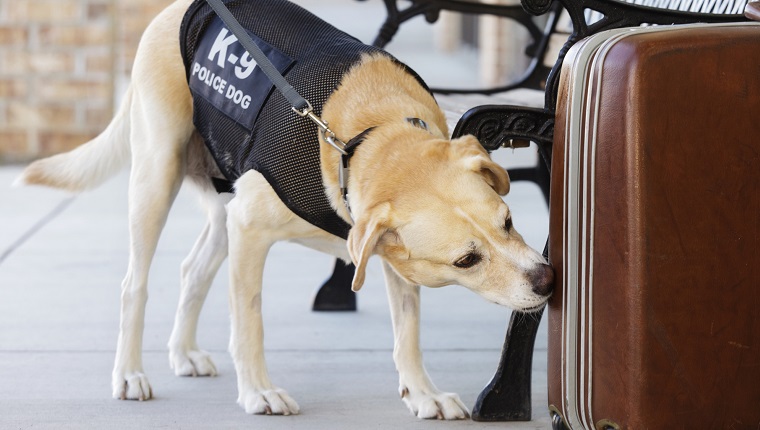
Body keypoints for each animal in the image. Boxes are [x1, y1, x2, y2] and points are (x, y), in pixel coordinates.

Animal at [16, 0, 552, 420]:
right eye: (467, 260)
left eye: (508, 222)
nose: (548, 280)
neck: (364, 139)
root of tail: (173, 10)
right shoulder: (251, 231)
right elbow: (250, 322)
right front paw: (258, 391)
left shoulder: (392, 258)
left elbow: (408, 332)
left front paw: (422, 394)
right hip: (157, 177)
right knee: (135, 285)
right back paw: (129, 374)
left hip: (222, 211)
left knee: (193, 270)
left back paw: (184, 353)